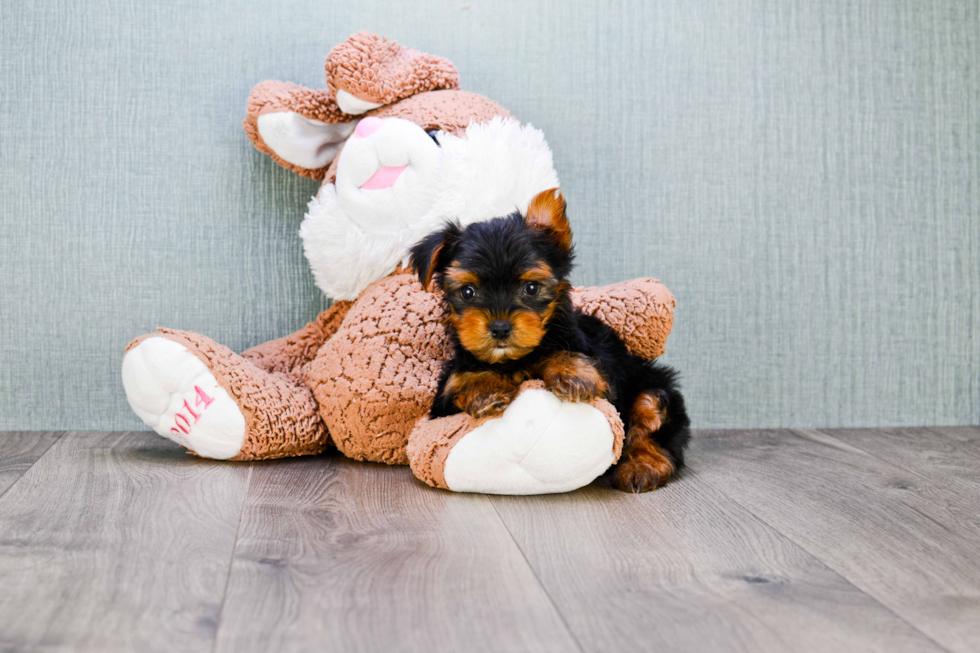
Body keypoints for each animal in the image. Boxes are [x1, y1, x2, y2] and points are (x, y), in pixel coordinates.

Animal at [406, 186, 688, 492]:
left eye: (531, 288)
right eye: (468, 292)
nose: (500, 327)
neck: (515, 359)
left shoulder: (604, 373)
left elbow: (572, 358)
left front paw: (573, 374)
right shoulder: (443, 401)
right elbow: (461, 378)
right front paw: (485, 387)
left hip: (651, 386)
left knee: (651, 422)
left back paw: (642, 467)